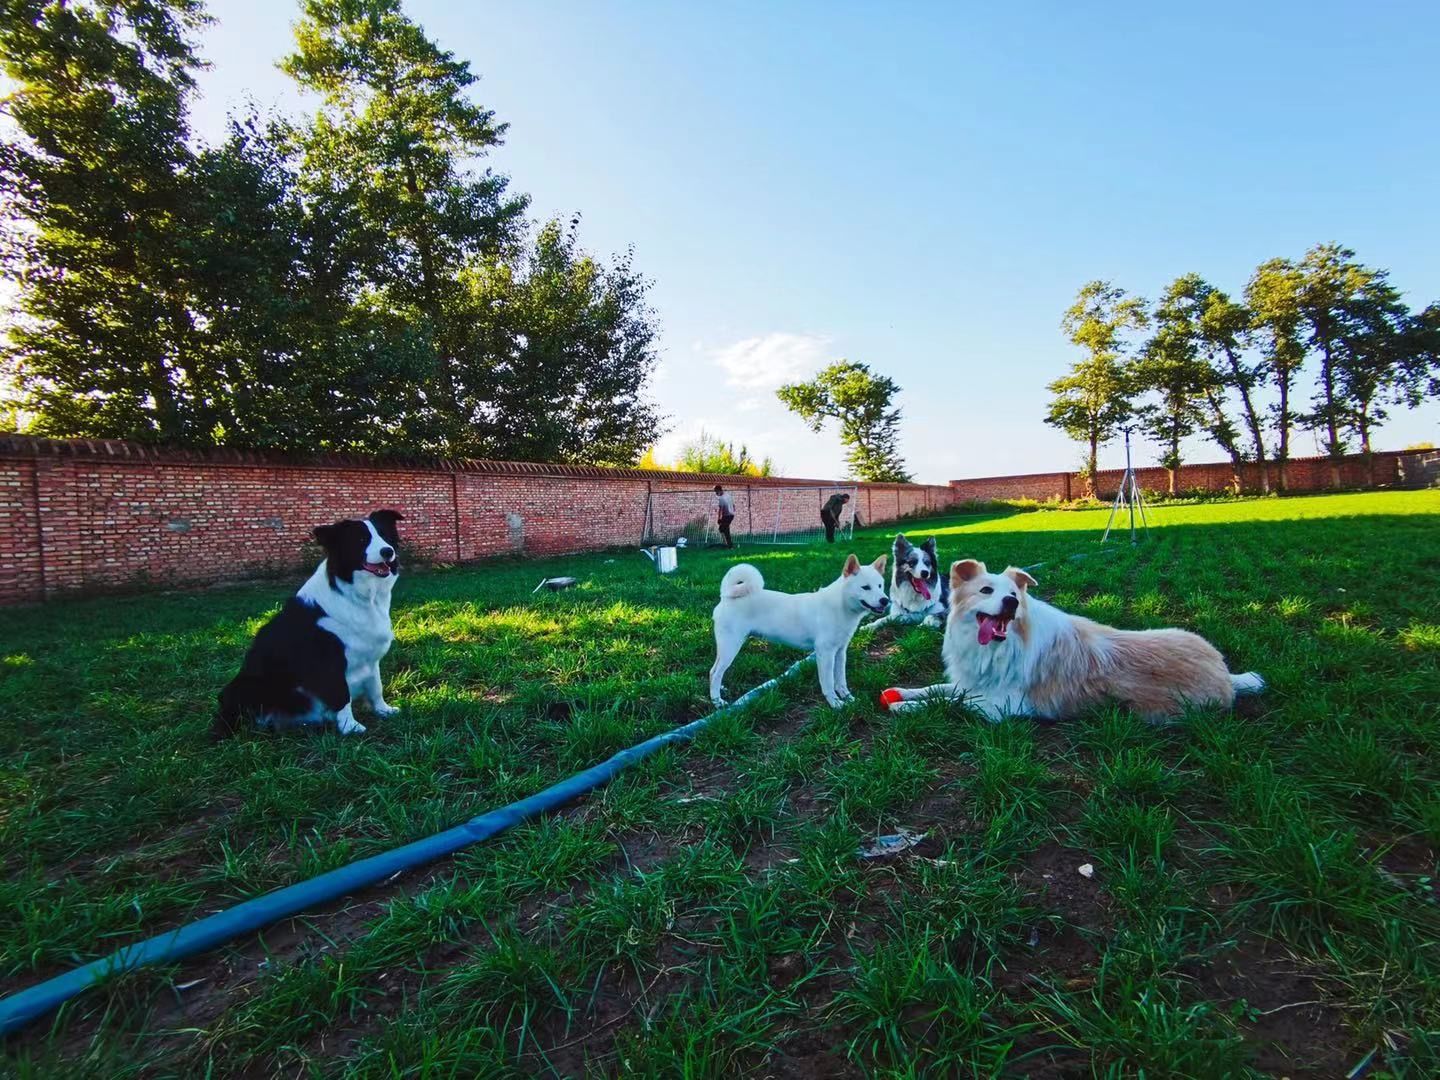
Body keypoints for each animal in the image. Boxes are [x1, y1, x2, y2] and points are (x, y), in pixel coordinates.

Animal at [708, 558, 887, 711]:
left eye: (880, 586)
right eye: (865, 587)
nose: (885, 600)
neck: (841, 605)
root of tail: (726, 596)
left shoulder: (840, 652)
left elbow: (841, 680)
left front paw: (848, 698)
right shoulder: (825, 653)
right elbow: (828, 682)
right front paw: (835, 703)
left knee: (714, 671)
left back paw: (719, 691)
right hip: (731, 646)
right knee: (715, 672)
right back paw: (717, 702)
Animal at [875, 561, 1261, 722]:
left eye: (1013, 593)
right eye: (986, 591)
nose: (1011, 602)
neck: (997, 647)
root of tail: (1228, 675)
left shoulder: (1002, 707)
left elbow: (949, 703)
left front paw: (903, 709)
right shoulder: (973, 684)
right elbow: (936, 690)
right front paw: (903, 693)